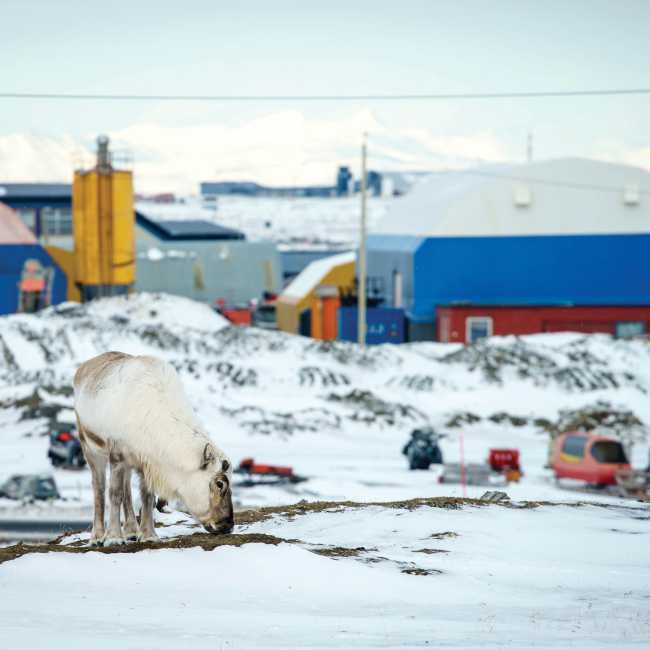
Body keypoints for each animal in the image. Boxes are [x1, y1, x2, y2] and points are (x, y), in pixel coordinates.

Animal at [74, 351, 234, 546]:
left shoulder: (147, 462)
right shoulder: (117, 454)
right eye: (219, 483)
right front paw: (113, 538)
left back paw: (131, 531)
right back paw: (97, 537)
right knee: (99, 490)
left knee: (127, 489)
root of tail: (83, 368)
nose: (228, 525)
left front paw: (149, 535)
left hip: (128, 462)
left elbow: (147, 497)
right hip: (91, 448)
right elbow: (115, 494)